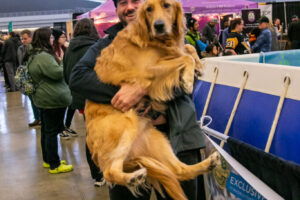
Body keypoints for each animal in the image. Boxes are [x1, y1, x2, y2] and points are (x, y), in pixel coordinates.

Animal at [84, 0, 220, 198]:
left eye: (167, 5)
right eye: (149, 9)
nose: (159, 26)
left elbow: (188, 49)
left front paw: (199, 66)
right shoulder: (149, 70)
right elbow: (184, 58)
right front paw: (187, 79)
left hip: (158, 141)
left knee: (179, 171)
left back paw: (208, 163)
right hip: (125, 125)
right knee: (109, 172)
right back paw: (133, 178)